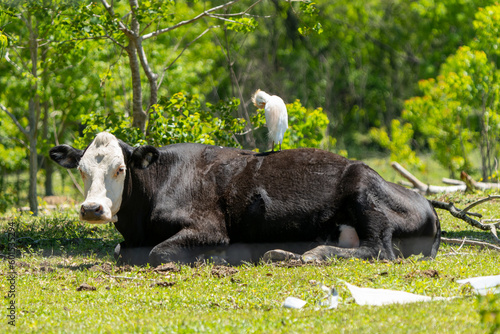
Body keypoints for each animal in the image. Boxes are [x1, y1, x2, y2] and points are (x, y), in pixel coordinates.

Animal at [50, 132, 440, 264]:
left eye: (120, 168)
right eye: (82, 169)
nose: (92, 208)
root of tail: (428, 205)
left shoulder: (209, 227)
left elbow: (159, 252)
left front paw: (218, 257)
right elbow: (120, 252)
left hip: (362, 189)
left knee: (379, 250)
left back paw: (312, 254)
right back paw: (283, 254)